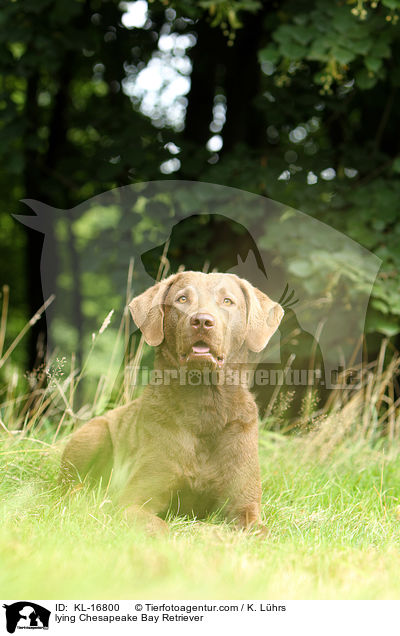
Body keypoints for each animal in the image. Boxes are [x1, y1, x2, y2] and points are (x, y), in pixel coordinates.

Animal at [59, 270, 284, 536]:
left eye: (227, 301)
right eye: (182, 299)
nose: (202, 321)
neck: (204, 406)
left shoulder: (245, 507)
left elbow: (256, 530)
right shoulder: (134, 500)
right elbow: (159, 527)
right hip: (95, 434)